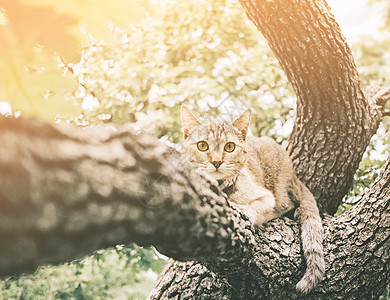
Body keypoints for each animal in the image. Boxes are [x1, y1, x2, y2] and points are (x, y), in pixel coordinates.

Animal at [181, 105, 326, 292]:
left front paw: (241, 210)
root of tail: (295, 176)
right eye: (202, 145)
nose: (217, 162)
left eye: (229, 147)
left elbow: (253, 208)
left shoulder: (267, 197)